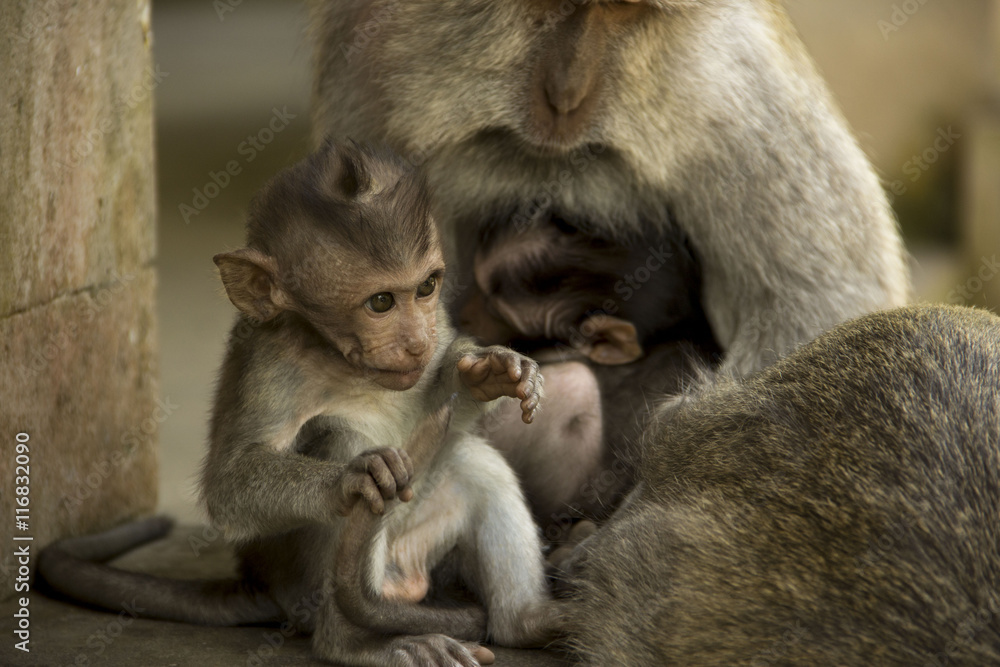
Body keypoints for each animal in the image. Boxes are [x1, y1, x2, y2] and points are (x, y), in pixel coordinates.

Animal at [37, 140, 561, 667]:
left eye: (427, 287)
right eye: (381, 302)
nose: (417, 343)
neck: (337, 356)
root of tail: (261, 584)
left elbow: (442, 401)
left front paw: (491, 370)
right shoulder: (270, 361)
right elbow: (230, 485)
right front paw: (354, 476)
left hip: (414, 536)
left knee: (474, 461)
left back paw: (530, 622)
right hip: (308, 581)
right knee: (339, 439)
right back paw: (355, 642)